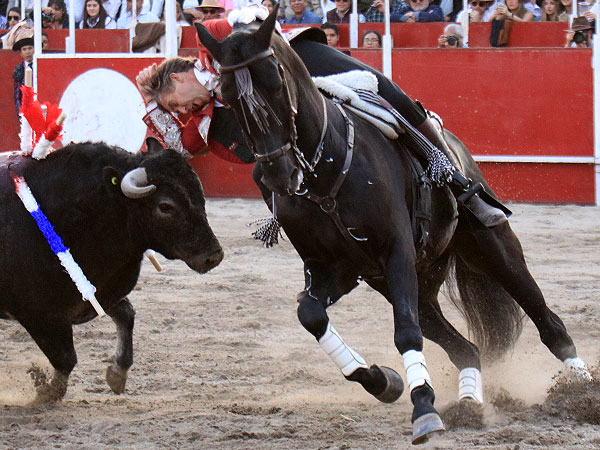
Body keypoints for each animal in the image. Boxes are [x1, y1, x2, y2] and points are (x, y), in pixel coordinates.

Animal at [0, 139, 223, 402]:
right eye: (165, 206)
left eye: (200, 196)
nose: (213, 256)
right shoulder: (40, 315)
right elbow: (66, 360)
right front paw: (46, 394)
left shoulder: (100, 293)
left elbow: (127, 315)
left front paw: (117, 374)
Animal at [196, 10, 592, 446]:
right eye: (226, 93)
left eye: (276, 80)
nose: (278, 173)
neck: (326, 169)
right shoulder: (335, 270)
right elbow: (311, 315)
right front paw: (383, 381)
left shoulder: (395, 250)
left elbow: (405, 333)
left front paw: (423, 410)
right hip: (409, 283)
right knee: (465, 348)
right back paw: (469, 405)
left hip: (493, 249)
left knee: (547, 321)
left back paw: (581, 392)